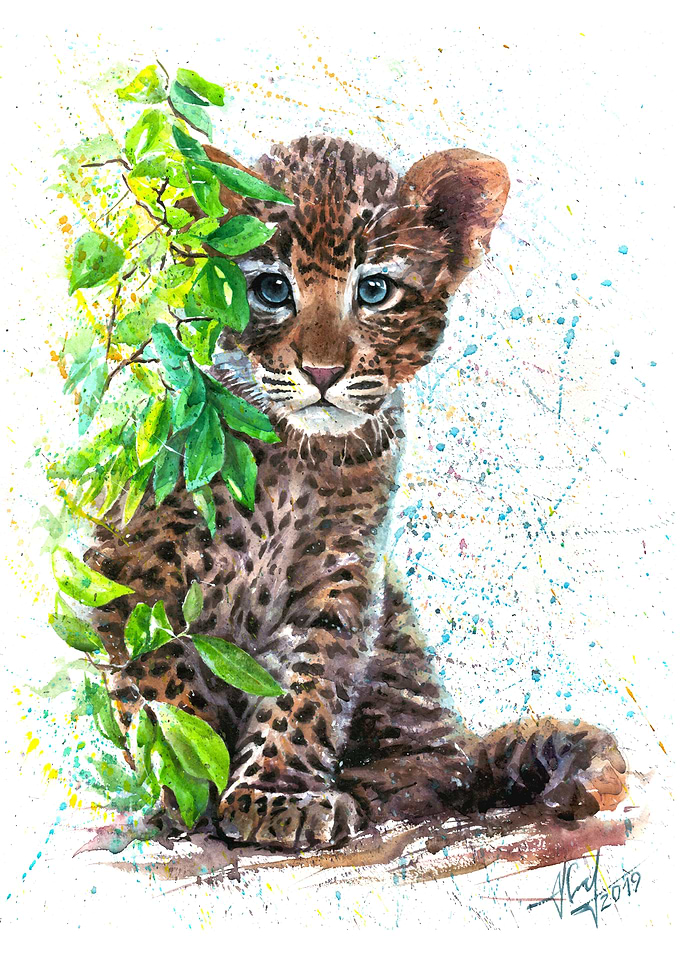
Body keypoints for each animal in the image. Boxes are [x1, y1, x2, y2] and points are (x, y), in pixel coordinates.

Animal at [85, 134, 627, 852]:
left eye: (373, 290)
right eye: (270, 288)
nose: (321, 372)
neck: (296, 457)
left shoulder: (338, 575)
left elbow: (307, 689)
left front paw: (273, 795)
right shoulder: (129, 567)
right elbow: (165, 690)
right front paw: (195, 780)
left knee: (433, 773)